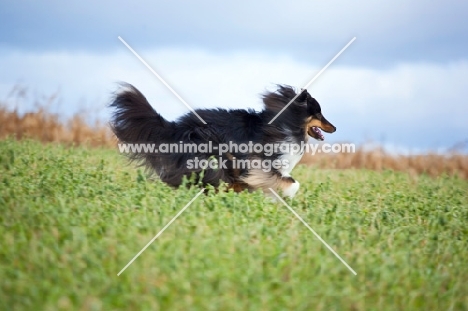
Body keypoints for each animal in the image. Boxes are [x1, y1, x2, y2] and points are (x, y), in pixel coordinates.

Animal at [109, 84, 336, 199]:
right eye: (319, 113)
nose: (334, 127)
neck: (288, 122)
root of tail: (175, 127)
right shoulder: (261, 162)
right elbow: (290, 182)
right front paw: (286, 194)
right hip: (209, 154)